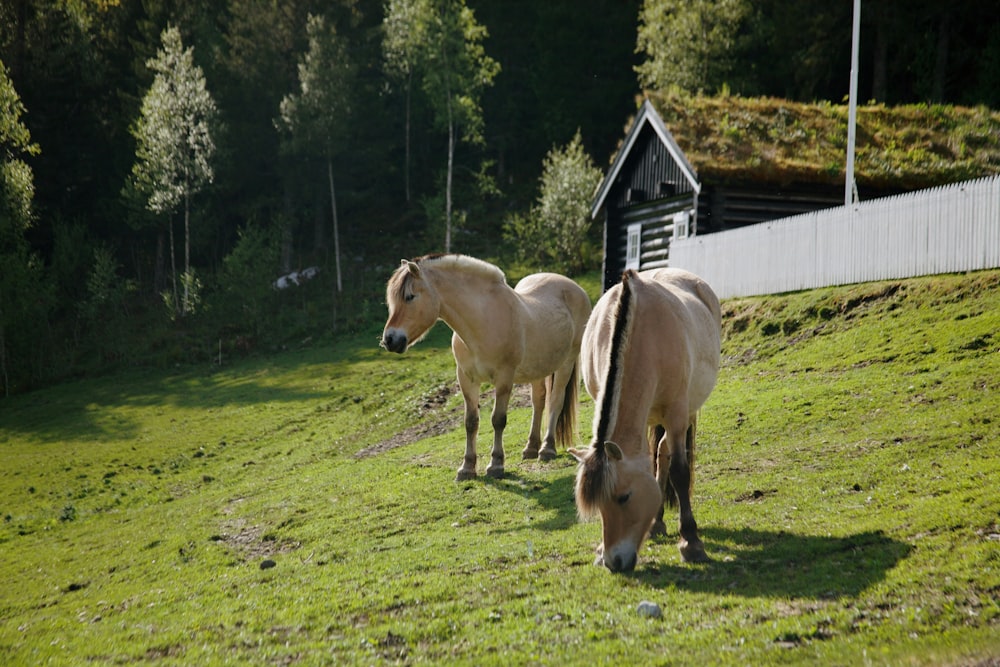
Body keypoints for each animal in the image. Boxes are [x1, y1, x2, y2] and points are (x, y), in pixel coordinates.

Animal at [378, 254, 588, 480]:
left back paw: (547, 449)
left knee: (555, 400)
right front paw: (467, 468)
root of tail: (575, 287)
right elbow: (471, 422)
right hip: (538, 369)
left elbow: (498, 419)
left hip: (566, 363)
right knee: (538, 401)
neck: (483, 321)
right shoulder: (466, 379)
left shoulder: (504, 379)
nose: (389, 340)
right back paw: (531, 447)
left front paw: (496, 465)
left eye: (410, 297)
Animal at [572, 268, 720, 572]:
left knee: (665, 454)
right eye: (599, 505)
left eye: (624, 497)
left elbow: (679, 472)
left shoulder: (677, 414)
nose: (614, 562)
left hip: (685, 413)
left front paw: (691, 542)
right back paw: (657, 524)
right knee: (658, 455)